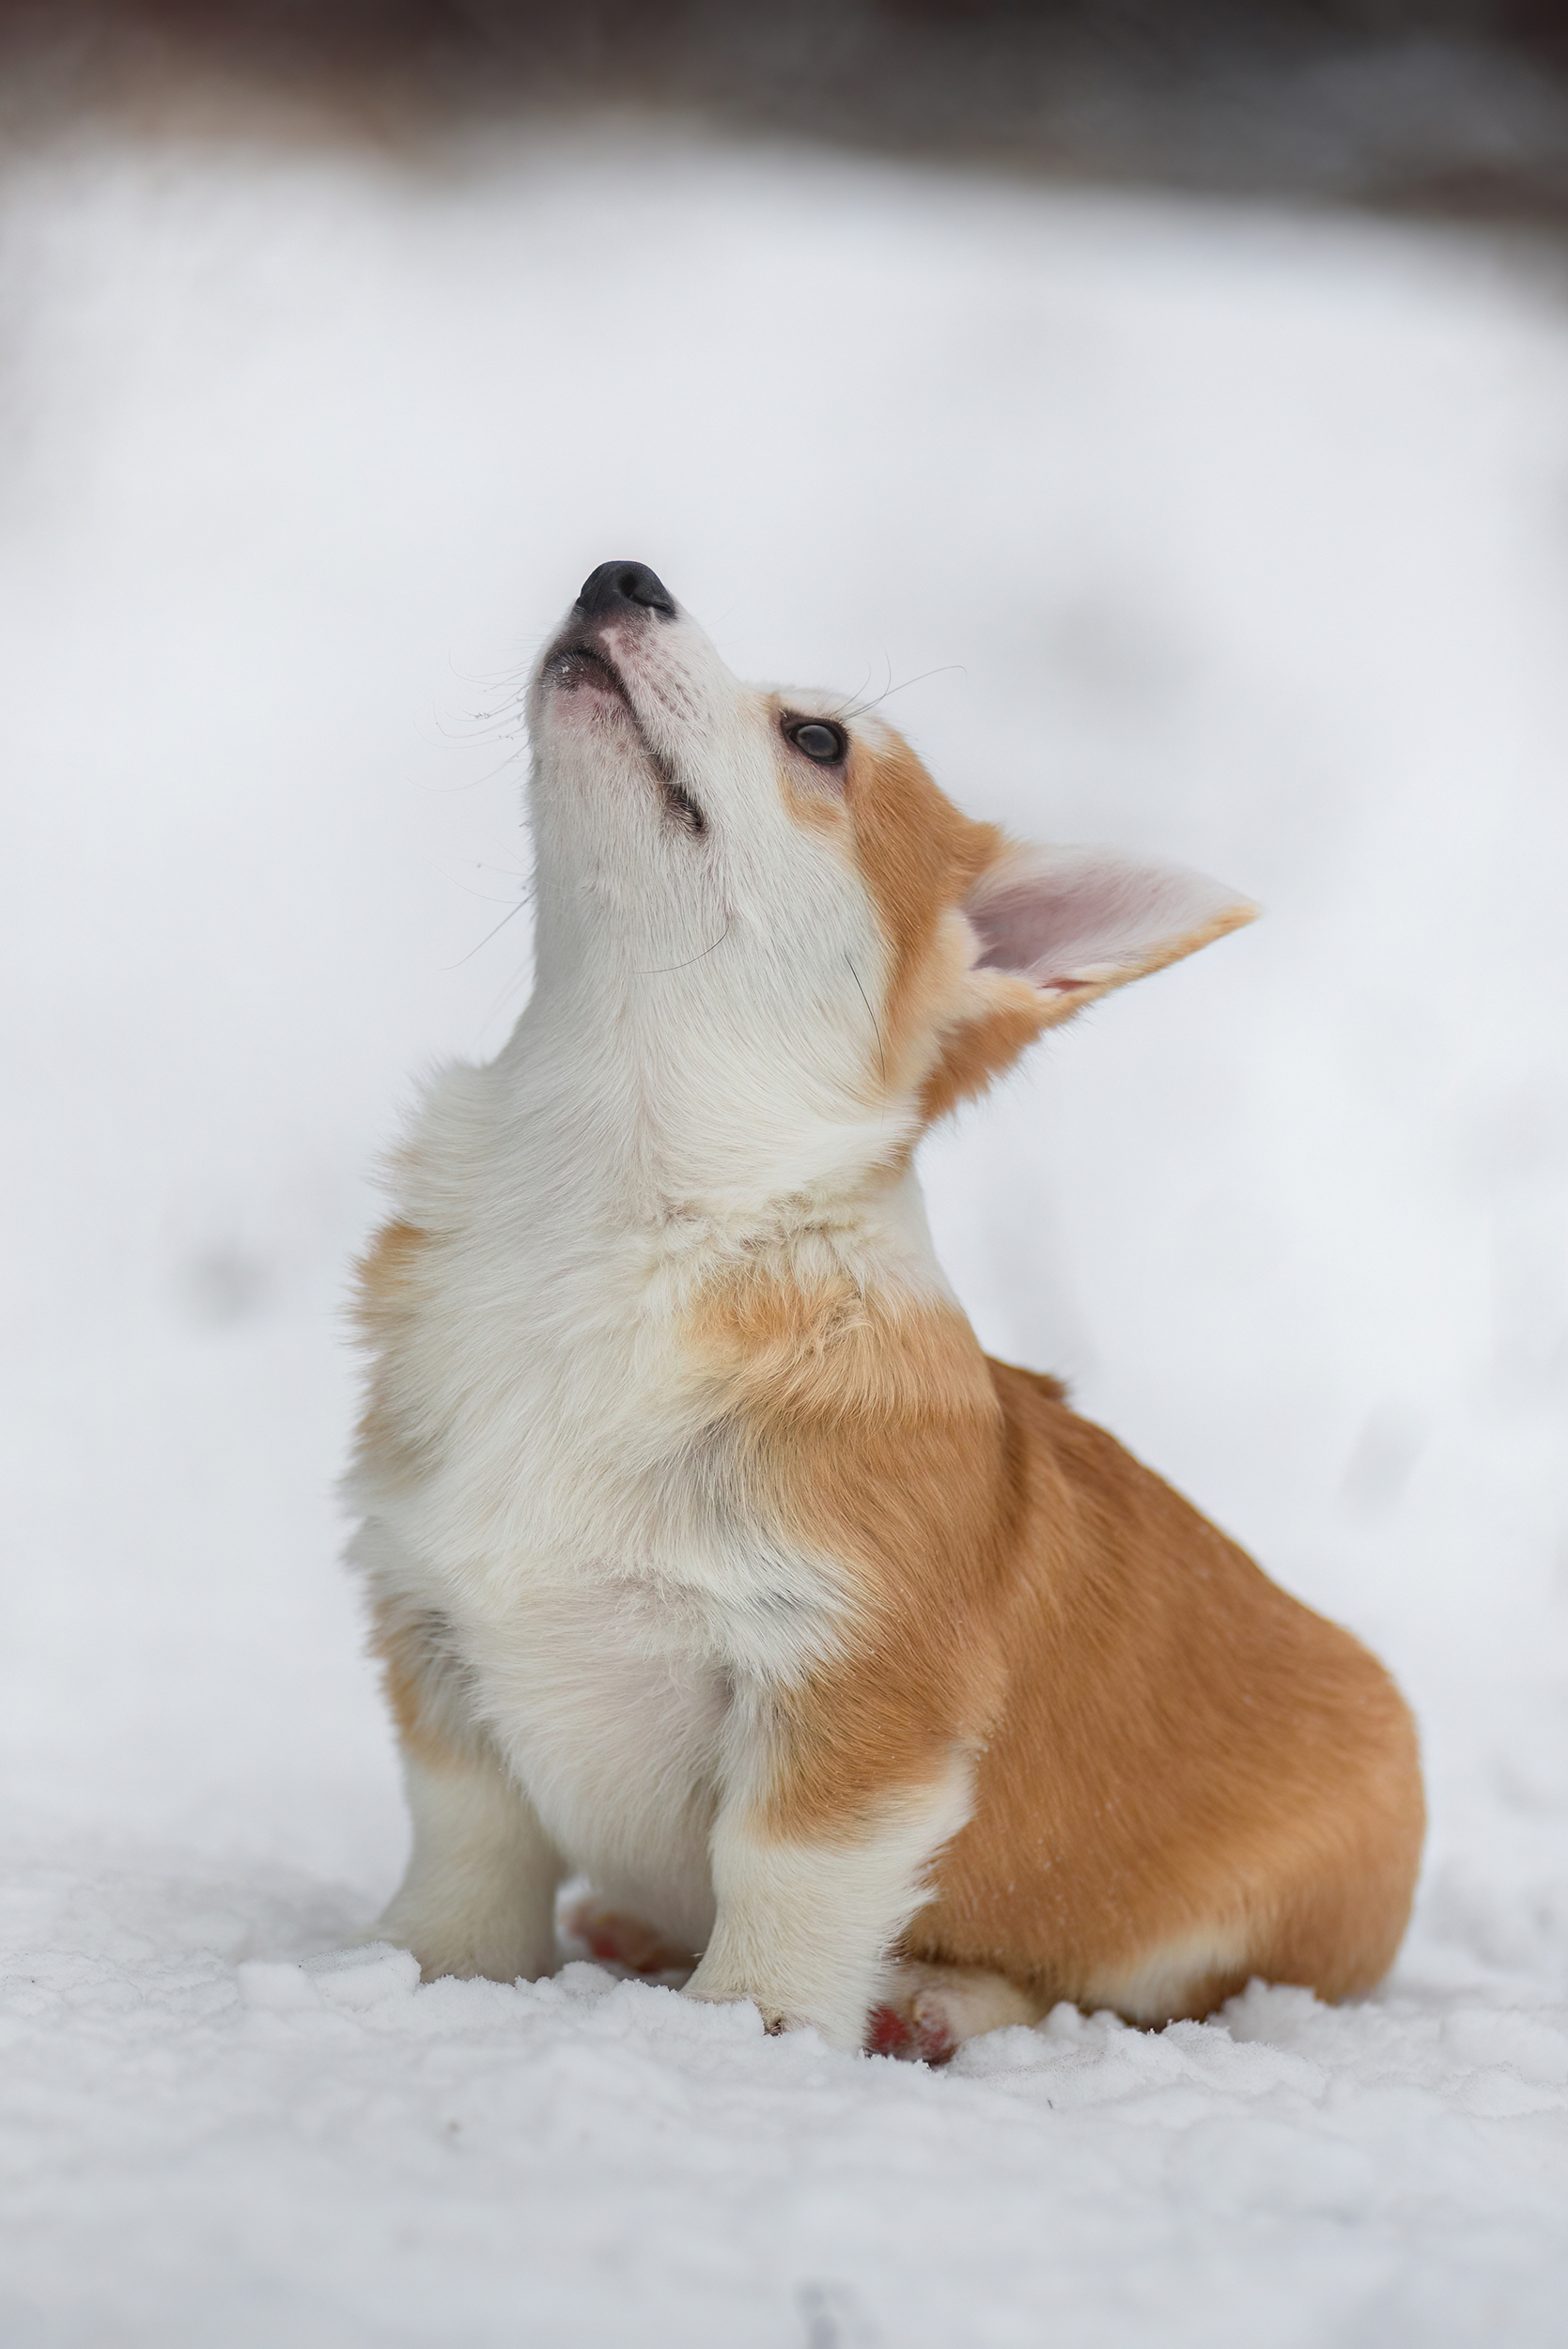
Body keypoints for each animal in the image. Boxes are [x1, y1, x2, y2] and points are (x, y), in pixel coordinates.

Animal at [349, 564, 1427, 2058]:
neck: (614, 1203)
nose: (620, 576)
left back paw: (936, 2002)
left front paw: (740, 2029)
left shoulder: (850, 1689)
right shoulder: (432, 1632)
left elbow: (784, 1876)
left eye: (817, 739)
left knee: (1112, 1997)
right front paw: (426, 1974)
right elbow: (470, 1839)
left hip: (1219, 1948)